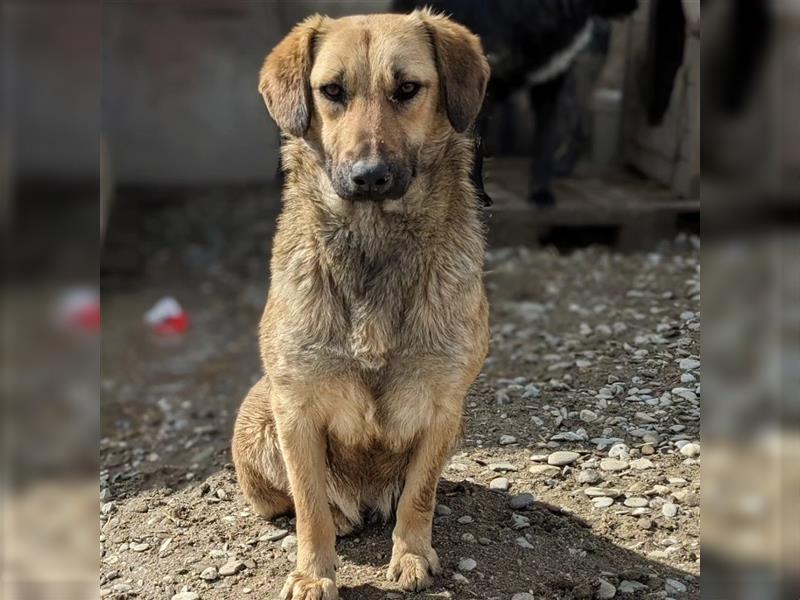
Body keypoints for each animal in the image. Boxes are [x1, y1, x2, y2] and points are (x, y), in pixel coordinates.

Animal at [231, 10, 490, 600]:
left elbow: (420, 495)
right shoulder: (295, 407)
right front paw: (313, 573)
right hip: (256, 416)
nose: (369, 175)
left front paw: (412, 554)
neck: (374, 246)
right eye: (332, 91)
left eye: (408, 89)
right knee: (297, 502)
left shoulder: (443, 405)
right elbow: (308, 506)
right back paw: (342, 516)